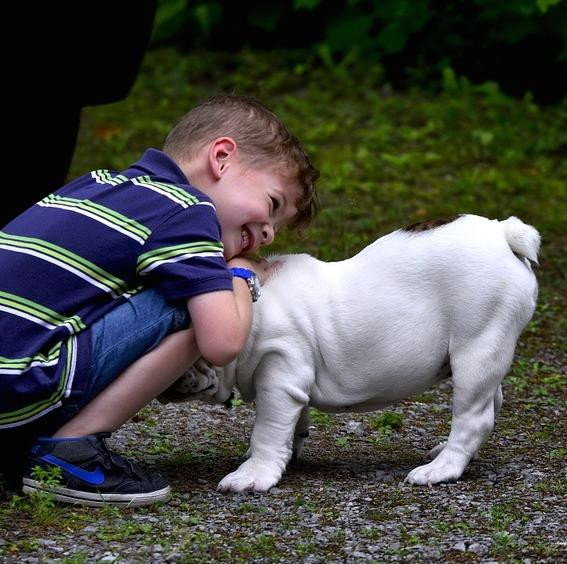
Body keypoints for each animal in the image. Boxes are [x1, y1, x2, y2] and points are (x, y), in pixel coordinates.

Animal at [164, 214, 540, 492]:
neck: (248, 308)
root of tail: (503, 233)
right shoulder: (291, 384)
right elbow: (294, 422)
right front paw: (290, 451)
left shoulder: (279, 376)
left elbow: (268, 430)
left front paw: (253, 474)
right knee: (491, 400)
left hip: (477, 345)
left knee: (473, 416)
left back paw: (440, 469)